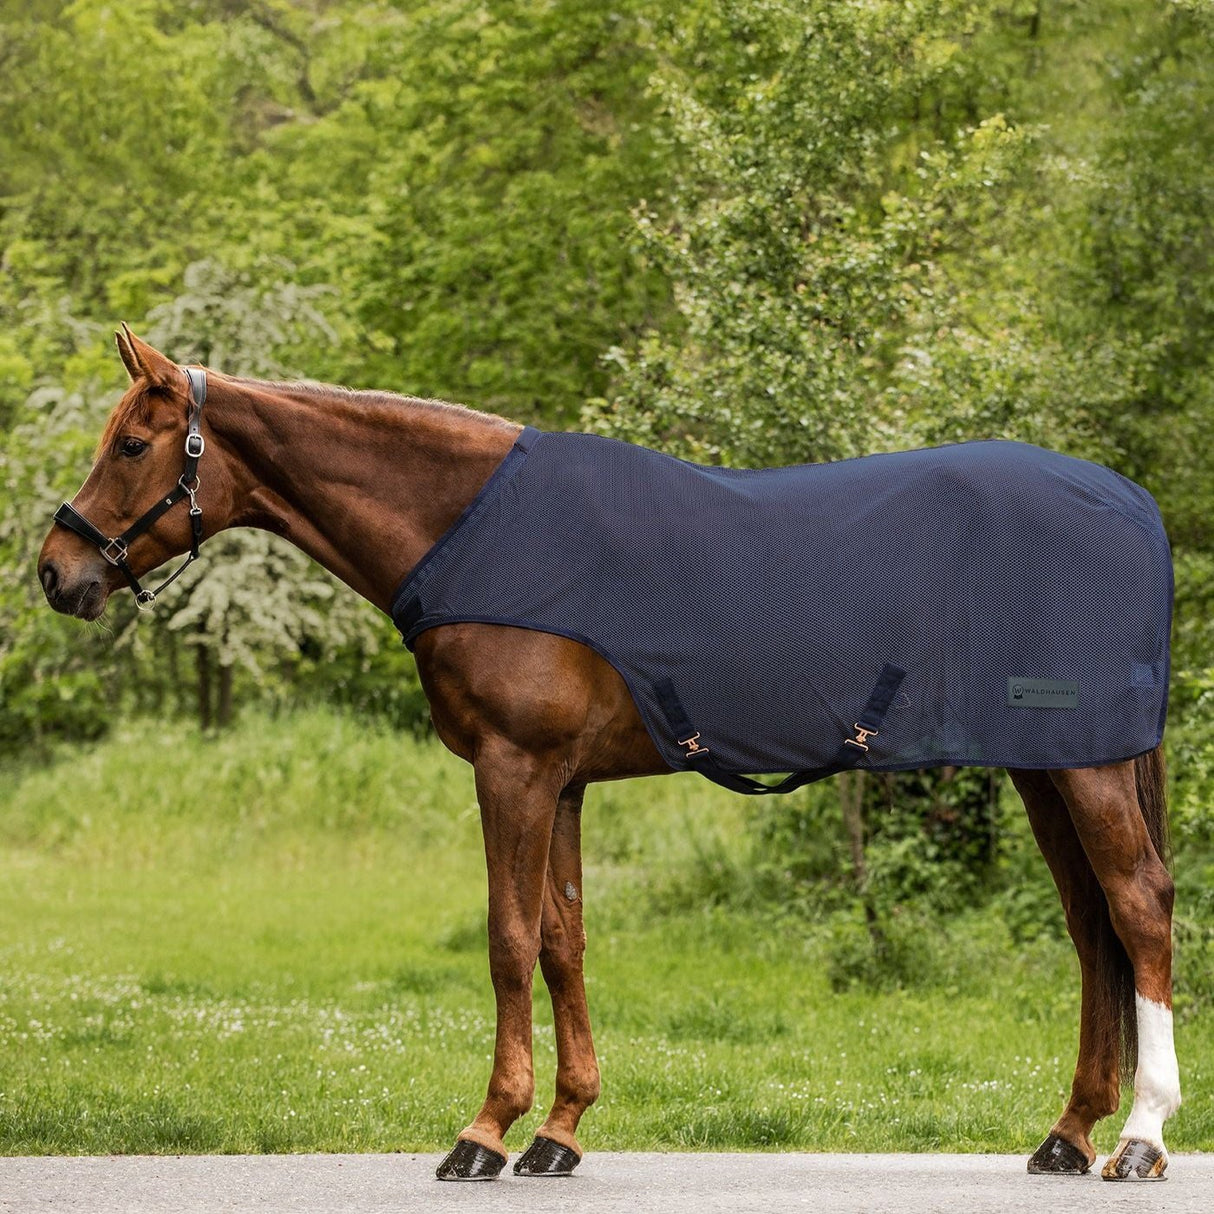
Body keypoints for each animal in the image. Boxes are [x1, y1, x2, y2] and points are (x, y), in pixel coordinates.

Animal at [37, 328, 1180, 1182]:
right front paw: (558, 1129)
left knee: (1136, 908)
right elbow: (562, 940)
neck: (476, 533)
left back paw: (1138, 1136)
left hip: (1082, 768)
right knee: (1091, 932)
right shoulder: (565, 781)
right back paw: (1067, 1132)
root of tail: (1128, 503)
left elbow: (506, 939)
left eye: (132, 444)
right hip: (1045, 767)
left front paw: (484, 1129)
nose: (54, 571)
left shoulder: (513, 770)